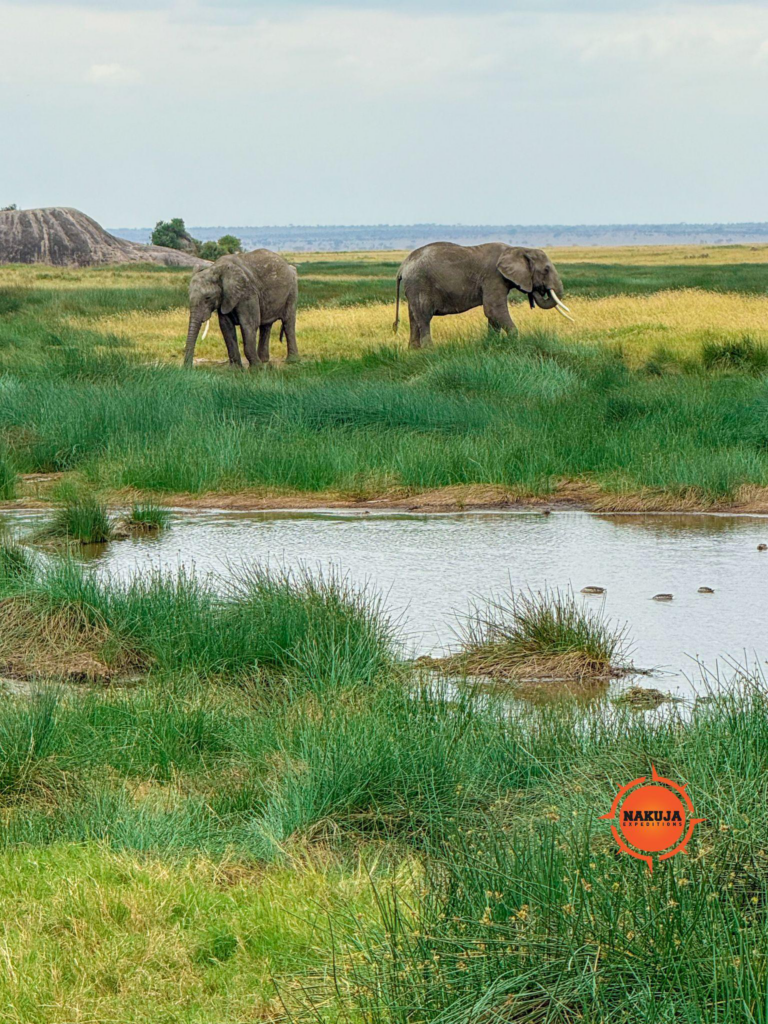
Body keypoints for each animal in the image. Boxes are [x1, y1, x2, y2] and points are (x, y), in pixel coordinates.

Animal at [393, 242, 573, 348]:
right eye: (546, 270)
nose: (537, 289)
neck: (517, 249)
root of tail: (403, 266)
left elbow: (493, 315)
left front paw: (492, 345)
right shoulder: (494, 276)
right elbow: (494, 309)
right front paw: (513, 343)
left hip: (414, 287)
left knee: (414, 317)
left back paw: (413, 351)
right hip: (420, 283)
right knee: (424, 317)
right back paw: (429, 350)